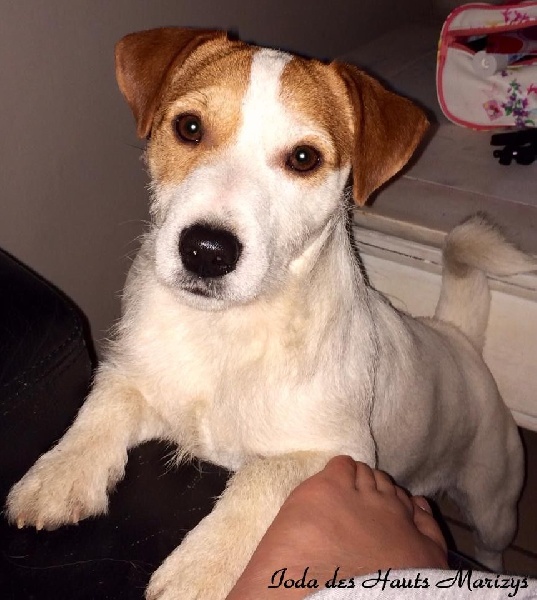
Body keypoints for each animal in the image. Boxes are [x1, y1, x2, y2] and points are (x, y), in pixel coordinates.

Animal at [6, 27, 535, 600]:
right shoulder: (132, 374)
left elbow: (257, 480)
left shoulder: (336, 454)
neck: (225, 330)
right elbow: (103, 404)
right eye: (189, 127)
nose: (206, 251)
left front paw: (200, 570)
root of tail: (456, 336)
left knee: (491, 541)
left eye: (303, 158)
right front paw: (60, 474)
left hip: (493, 501)